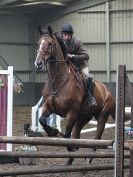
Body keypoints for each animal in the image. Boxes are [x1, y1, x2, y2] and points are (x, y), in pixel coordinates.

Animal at [34, 25, 115, 165]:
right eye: (39, 43)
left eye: (50, 43)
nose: (38, 64)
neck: (57, 80)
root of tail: (106, 90)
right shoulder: (48, 107)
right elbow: (42, 120)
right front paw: (54, 131)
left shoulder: (71, 113)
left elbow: (67, 136)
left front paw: (69, 145)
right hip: (82, 118)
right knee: (77, 135)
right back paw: (68, 162)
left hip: (102, 117)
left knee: (96, 139)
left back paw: (87, 158)